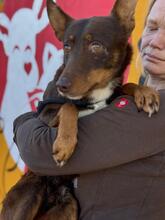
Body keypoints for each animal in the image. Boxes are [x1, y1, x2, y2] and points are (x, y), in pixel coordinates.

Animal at [0, 0, 160, 219]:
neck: (93, 95)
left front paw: (145, 93)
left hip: (68, 207)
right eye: (66, 46)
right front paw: (64, 145)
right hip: (30, 191)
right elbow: (68, 106)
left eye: (96, 46)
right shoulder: (45, 115)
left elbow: (125, 86)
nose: (61, 85)